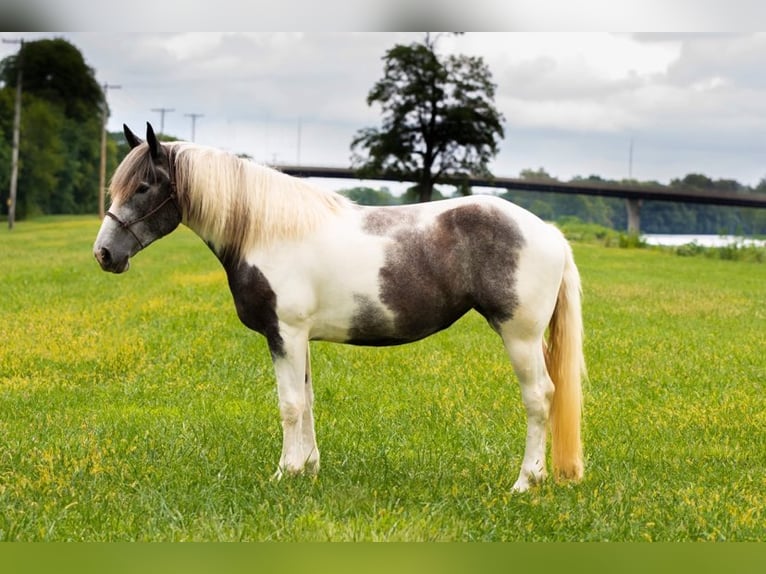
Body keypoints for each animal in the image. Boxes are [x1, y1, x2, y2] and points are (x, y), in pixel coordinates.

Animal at [96, 124, 588, 492]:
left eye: (142, 186)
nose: (104, 254)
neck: (267, 232)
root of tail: (548, 232)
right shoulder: (299, 338)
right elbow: (308, 401)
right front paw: (310, 469)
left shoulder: (285, 334)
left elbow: (289, 404)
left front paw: (285, 473)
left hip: (520, 337)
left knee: (539, 398)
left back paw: (525, 482)